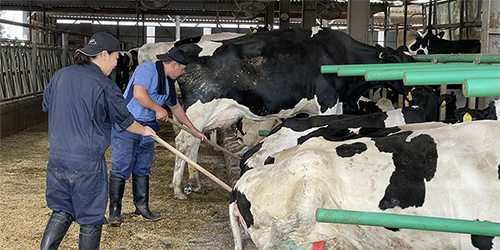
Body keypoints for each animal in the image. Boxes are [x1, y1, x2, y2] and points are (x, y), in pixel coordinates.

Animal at [174, 26, 416, 199]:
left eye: (412, 60)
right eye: (398, 63)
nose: (417, 89)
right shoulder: (328, 102)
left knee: (194, 141)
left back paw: (195, 184)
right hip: (198, 109)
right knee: (183, 141)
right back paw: (177, 189)